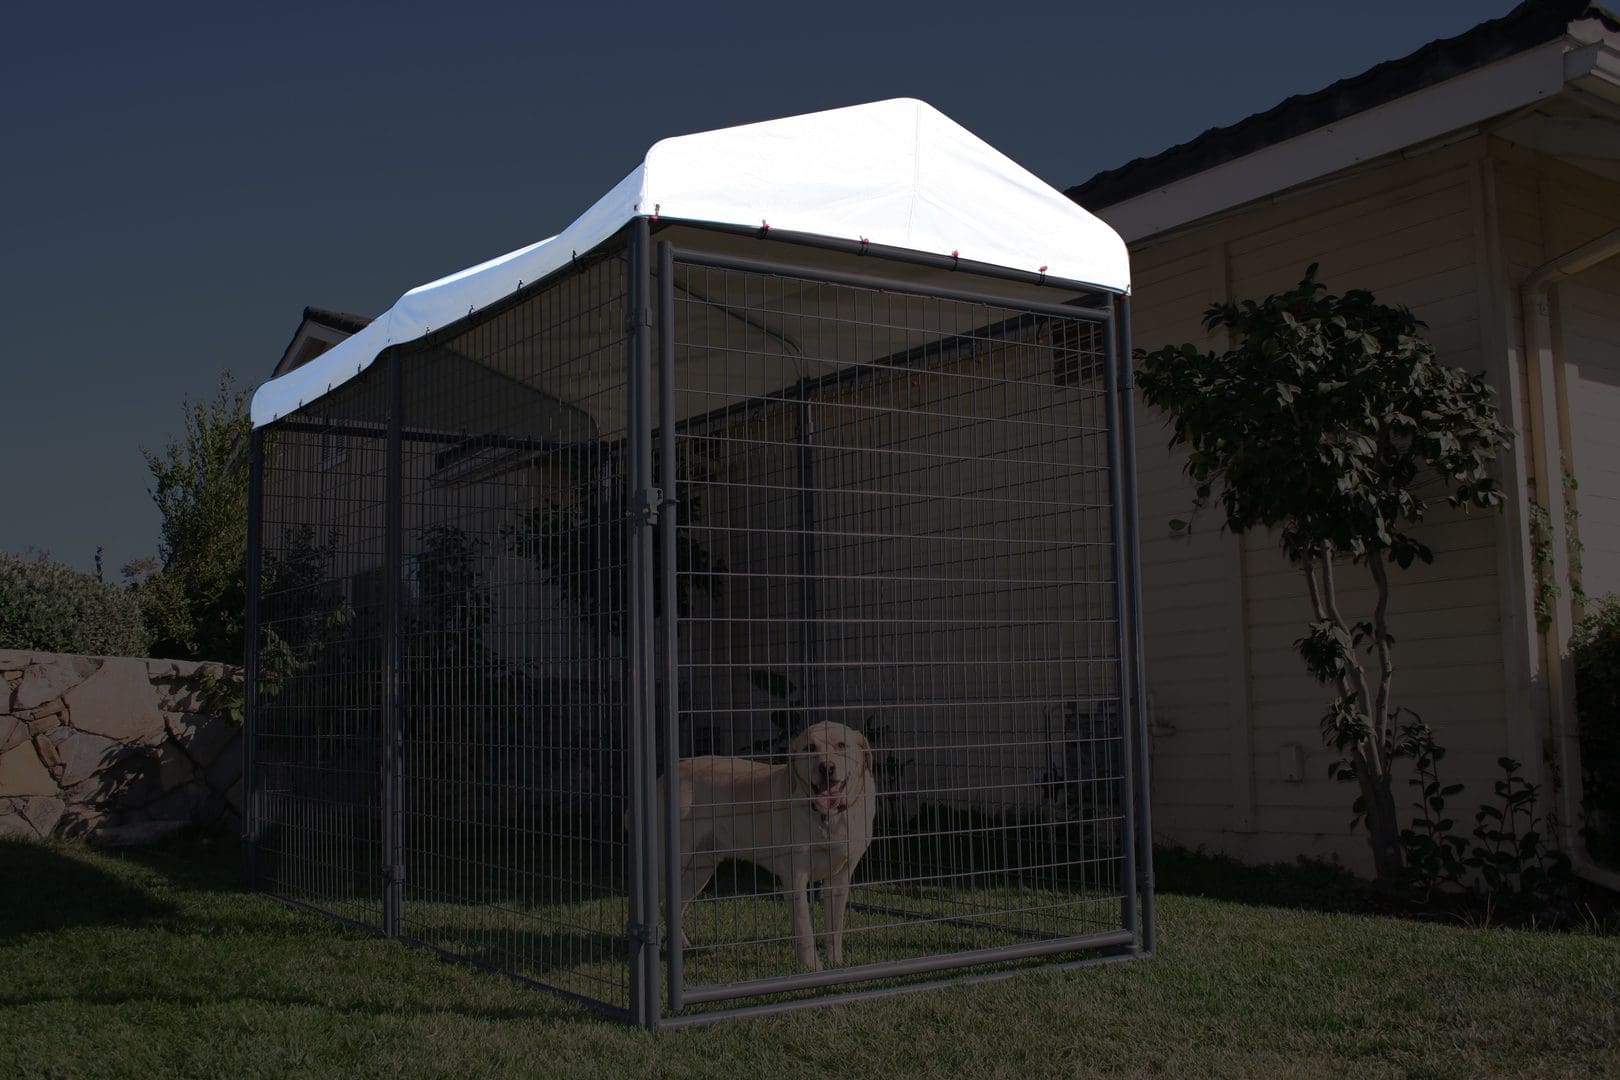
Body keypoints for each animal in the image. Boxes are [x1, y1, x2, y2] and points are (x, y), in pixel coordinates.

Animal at [660, 722, 874, 965]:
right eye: (809, 748)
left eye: (841, 745)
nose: (826, 768)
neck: (827, 817)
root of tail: (665, 775)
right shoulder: (795, 878)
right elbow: (804, 929)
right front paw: (812, 966)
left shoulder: (839, 877)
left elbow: (835, 927)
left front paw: (836, 963)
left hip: (700, 868)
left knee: (671, 906)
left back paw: (684, 947)